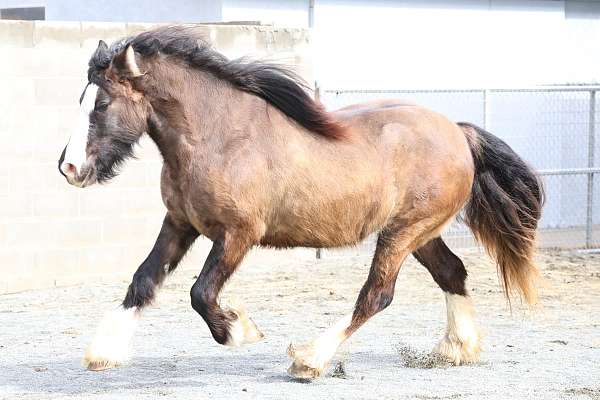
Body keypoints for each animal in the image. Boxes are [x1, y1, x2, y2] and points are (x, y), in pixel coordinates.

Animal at [57, 26, 544, 380]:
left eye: (102, 104)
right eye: (81, 100)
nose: (70, 168)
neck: (219, 137)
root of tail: (459, 133)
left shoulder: (238, 234)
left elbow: (201, 293)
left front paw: (241, 330)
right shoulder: (180, 223)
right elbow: (143, 281)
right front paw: (103, 352)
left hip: (403, 233)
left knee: (376, 295)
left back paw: (309, 360)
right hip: (419, 233)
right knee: (452, 272)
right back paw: (455, 349)